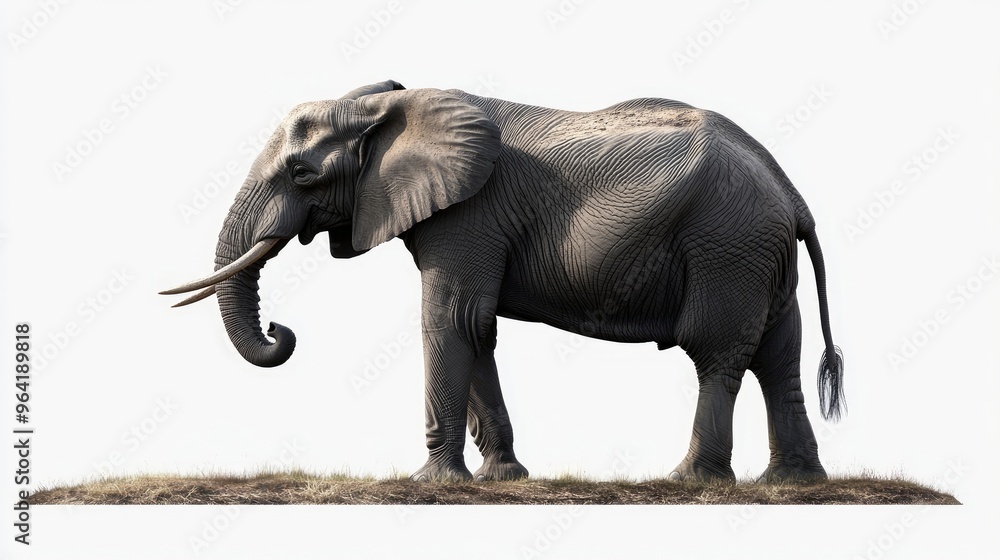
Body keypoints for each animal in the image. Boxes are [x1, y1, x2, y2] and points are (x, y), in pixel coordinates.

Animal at [162, 79, 845, 482]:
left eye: (302, 174)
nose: (282, 331)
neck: (388, 106)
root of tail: (793, 194)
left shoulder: (468, 215)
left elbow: (450, 320)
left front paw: (433, 485)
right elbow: (477, 328)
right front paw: (502, 479)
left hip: (726, 246)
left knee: (718, 353)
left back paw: (690, 481)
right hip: (759, 257)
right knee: (777, 356)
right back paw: (793, 484)